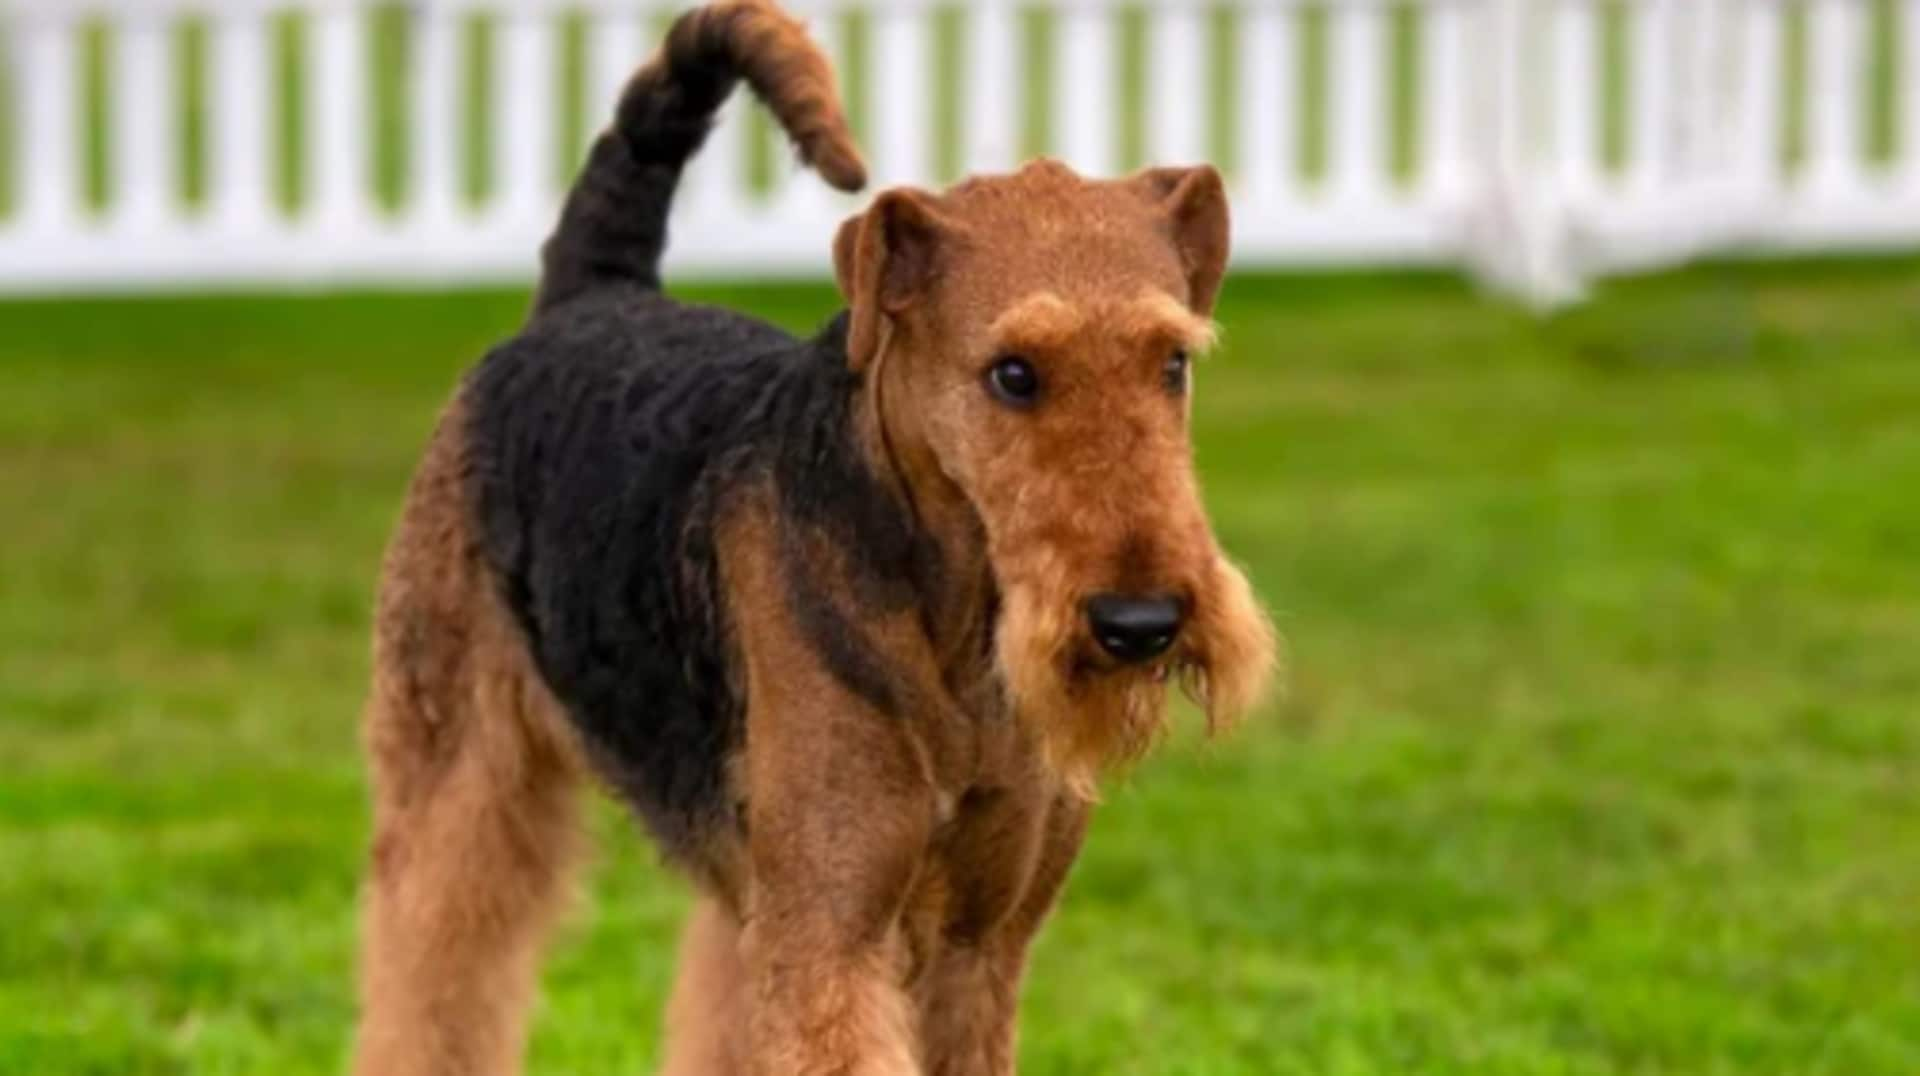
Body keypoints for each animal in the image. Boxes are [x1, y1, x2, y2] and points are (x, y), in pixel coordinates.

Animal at [345, 4, 1274, 1068]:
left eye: (1173, 363)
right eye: (1013, 372)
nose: (1140, 622)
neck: (953, 627)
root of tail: (590, 294)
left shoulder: (979, 944)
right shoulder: (832, 932)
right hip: (456, 769)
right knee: (433, 960)